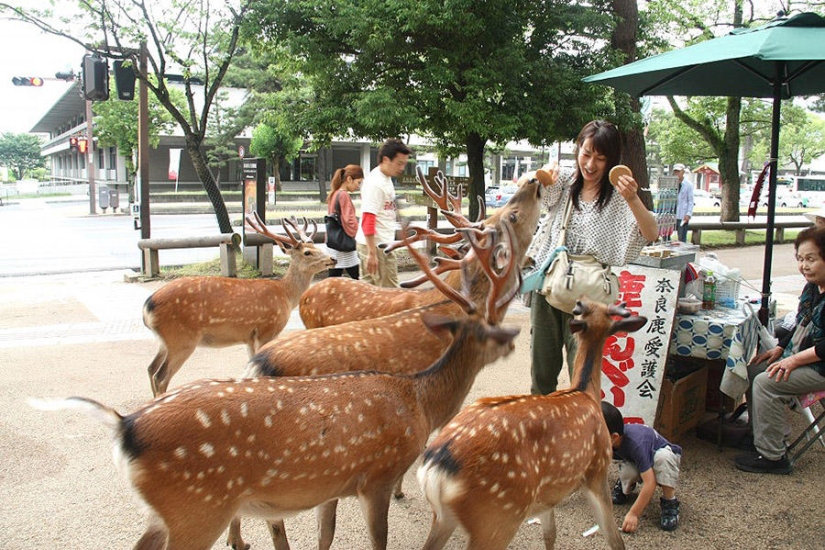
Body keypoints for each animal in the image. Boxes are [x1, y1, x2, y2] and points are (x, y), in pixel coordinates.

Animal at [143, 215, 334, 396]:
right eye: (307, 252)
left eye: (318, 247)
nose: (332, 258)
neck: (285, 295)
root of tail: (147, 308)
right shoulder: (266, 329)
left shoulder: (249, 337)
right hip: (182, 338)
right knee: (160, 377)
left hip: (166, 341)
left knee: (150, 368)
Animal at [416, 302, 648, 550]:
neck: (586, 393)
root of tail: (436, 469)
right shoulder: (597, 470)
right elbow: (613, 537)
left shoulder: (546, 497)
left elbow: (550, 533)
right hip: (499, 516)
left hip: (445, 516)